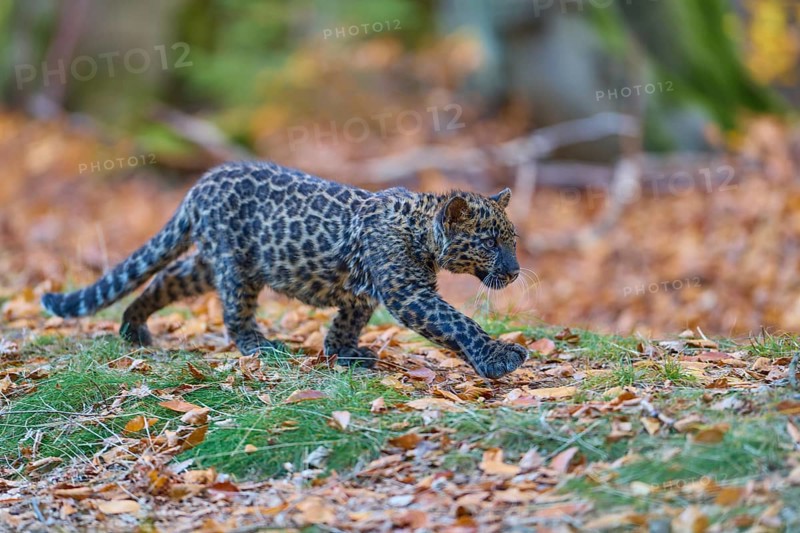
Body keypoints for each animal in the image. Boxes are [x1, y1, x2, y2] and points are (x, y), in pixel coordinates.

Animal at [42, 161, 528, 379]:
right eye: (490, 243)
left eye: (512, 240)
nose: (516, 271)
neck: (421, 231)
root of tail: (201, 183)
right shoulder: (410, 294)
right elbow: (458, 322)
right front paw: (500, 357)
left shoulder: (362, 290)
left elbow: (349, 319)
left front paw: (343, 352)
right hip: (235, 264)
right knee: (233, 312)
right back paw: (260, 346)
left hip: (212, 262)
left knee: (164, 277)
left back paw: (133, 327)